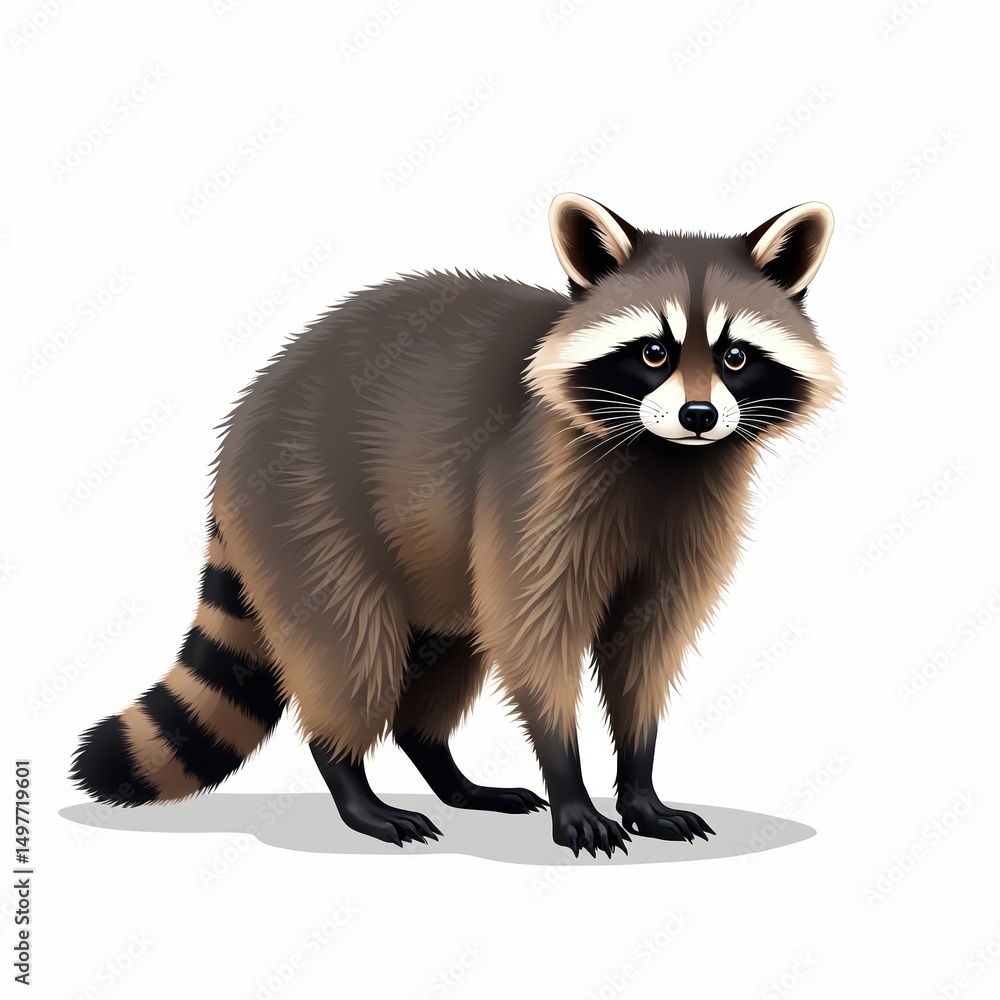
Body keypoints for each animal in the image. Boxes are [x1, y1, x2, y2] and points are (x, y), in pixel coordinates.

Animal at [72, 193, 841, 858]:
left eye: (735, 357)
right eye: (653, 352)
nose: (699, 415)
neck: (663, 455)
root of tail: (242, 419)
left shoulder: (691, 515)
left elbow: (647, 647)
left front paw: (640, 781)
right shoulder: (536, 482)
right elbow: (535, 634)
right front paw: (570, 782)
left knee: (446, 645)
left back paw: (442, 765)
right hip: (304, 501)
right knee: (347, 642)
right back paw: (350, 779)